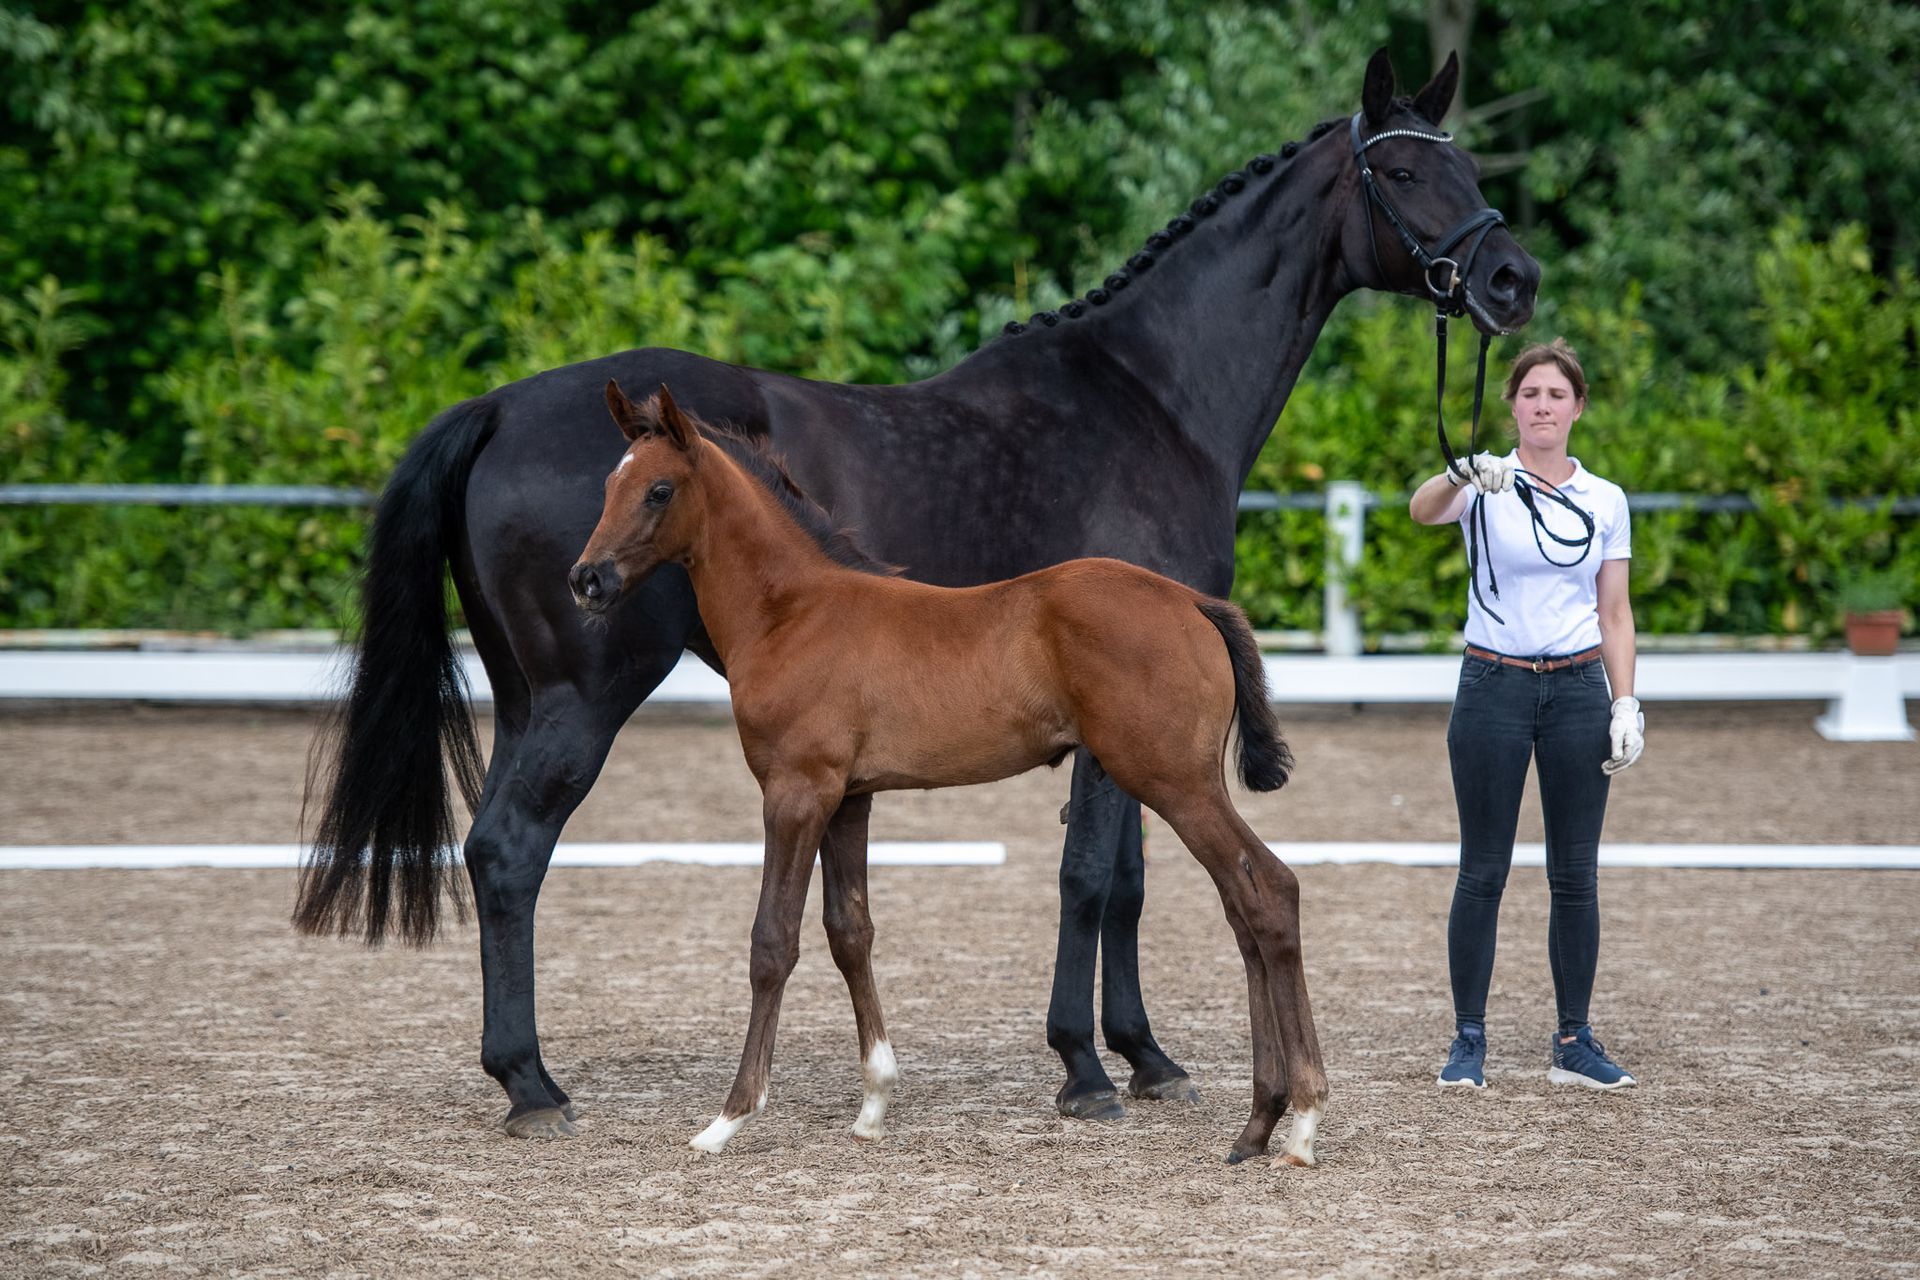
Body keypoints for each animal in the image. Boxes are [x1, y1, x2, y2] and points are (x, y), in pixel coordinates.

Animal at [571, 379, 1323, 1166]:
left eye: (659, 490)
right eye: (609, 485)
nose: (586, 580)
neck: (793, 613)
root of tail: (1195, 603)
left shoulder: (796, 792)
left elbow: (772, 942)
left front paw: (729, 1117)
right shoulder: (849, 799)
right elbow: (850, 931)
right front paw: (874, 1104)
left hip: (1175, 782)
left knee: (1269, 892)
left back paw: (1298, 1122)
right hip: (1181, 784)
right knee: (1247, 903)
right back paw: (1262, 1121)